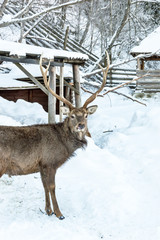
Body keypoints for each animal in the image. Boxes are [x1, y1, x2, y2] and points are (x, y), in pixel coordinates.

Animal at [0, 52, 109, 219]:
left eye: (86, 115)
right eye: (71, 115)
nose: (81, 125)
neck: (64, 145)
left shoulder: (41, 165)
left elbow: (44, 186)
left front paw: (48, 210)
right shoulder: (50, 161)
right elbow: (52, 186)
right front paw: (59, 213)